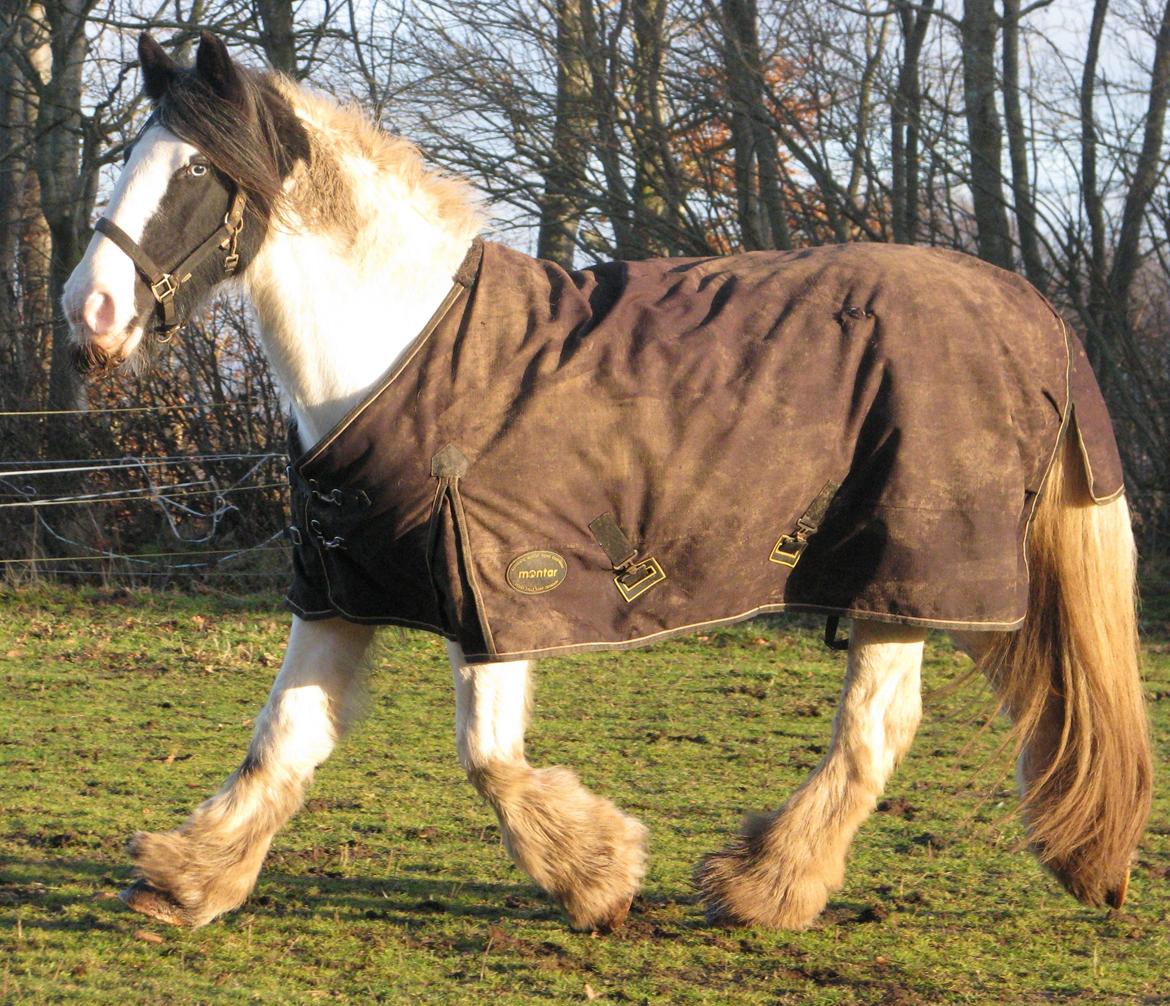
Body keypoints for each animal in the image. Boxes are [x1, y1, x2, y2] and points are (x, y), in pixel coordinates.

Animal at [61, 37, 1151, 935]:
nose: (90, 312)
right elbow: (282, 741)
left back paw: (762, 887)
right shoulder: (339, 593)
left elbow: (490, 758)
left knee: (875, 730)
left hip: (903, 573)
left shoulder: (498, 597)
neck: (400, 354)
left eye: (193, 170)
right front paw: (183, 880)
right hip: (918, 582)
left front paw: (601, 877)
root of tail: (1026, 308)